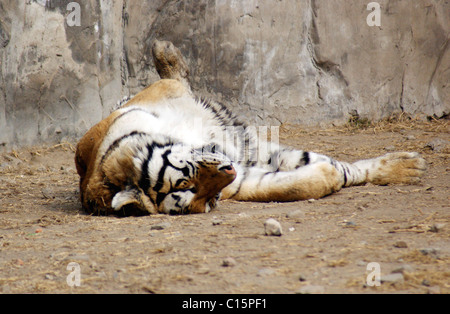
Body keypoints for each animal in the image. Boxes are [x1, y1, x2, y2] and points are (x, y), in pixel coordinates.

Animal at [75, 39, 428, 216]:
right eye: (205, 198)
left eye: (186, 179)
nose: (229, 171)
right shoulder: (244, 178)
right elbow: (298, 183)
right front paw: (328, 175)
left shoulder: (158, 99)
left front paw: (405, 167)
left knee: (175, 75)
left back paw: (165, 51)